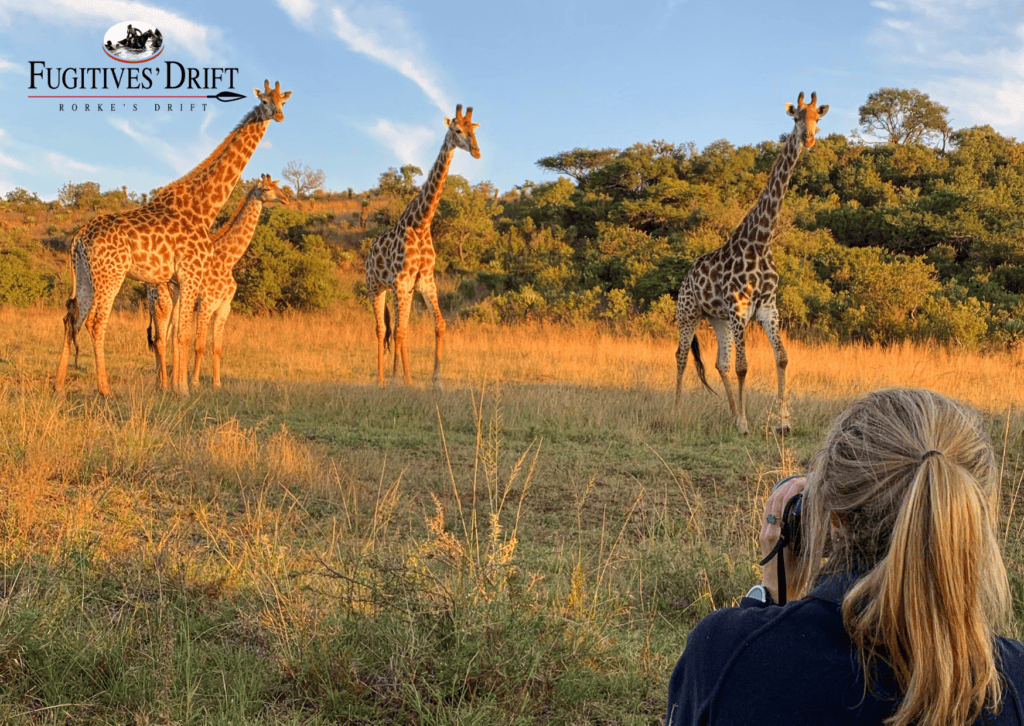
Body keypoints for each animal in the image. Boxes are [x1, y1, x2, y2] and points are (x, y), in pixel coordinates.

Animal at [146, 173, 288, 387]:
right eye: (266, 189)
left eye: (277, 187)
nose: (286, 199)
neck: (228, 260)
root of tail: (149, 287)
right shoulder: (207, 303)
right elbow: (199, 345)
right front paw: (195, 382)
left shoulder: (224, 306)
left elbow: (217, 347)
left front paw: (217, 383)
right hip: (162, 305)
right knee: (161, 341)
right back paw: (163, 383)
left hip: (167, 307)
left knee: (163, 340)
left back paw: (163, 380)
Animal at [366, 103, 481, 387]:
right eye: (456, 130)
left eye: (474, 130)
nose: (476, 151)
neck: (421, 223)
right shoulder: (402, 279)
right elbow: (400, 331)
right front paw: (406, 381)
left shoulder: (425, 279)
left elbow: (438, 325)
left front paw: (435, 380)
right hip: (374, 286)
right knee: (382, 329)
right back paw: (382, 379)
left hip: (397, 289)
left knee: (396, 327)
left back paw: (392, 375)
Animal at [675, 88, 827, 434]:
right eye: (796, 117)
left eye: (818, 117)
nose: (809, 139)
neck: (761, 241)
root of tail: (686, 277)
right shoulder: (739, 307)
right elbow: (744, 365)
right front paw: (745, 424)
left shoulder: (768, 308)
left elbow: (781, 358)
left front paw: (782, 422)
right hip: (688, 312)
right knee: (681, 356)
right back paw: (673, 411)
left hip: (717, 318)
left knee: (719, 363)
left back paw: (731, 414)